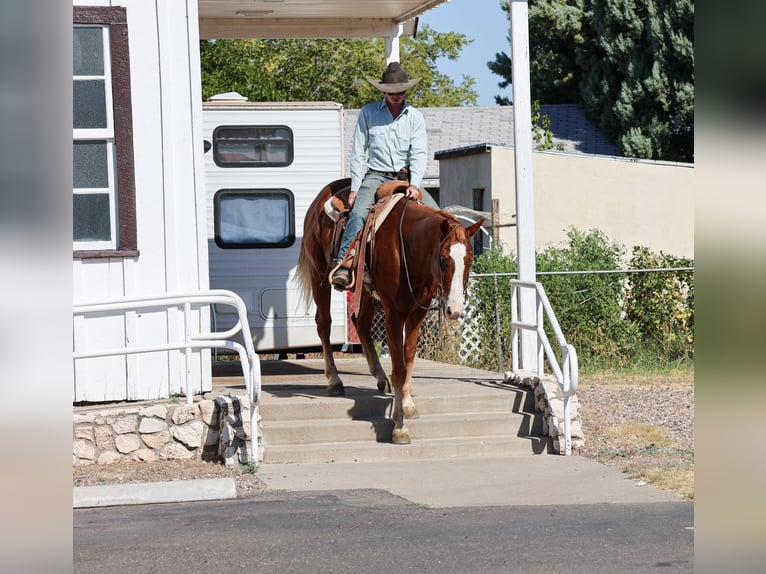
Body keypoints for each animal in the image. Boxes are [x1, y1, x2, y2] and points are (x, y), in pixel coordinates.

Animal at [296, 179, 484, 446]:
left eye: (469, 259)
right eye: (443, 259)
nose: (455, 309)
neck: (407, 246)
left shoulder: (418, 311)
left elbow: (408, 359)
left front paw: (408, 404)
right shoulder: (394, 314)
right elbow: (399, 369)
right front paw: (399, 426)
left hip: (364, 292)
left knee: (360, 323)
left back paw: (379, 376)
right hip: (318, 274)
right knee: (324, 324)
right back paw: (334, 380)